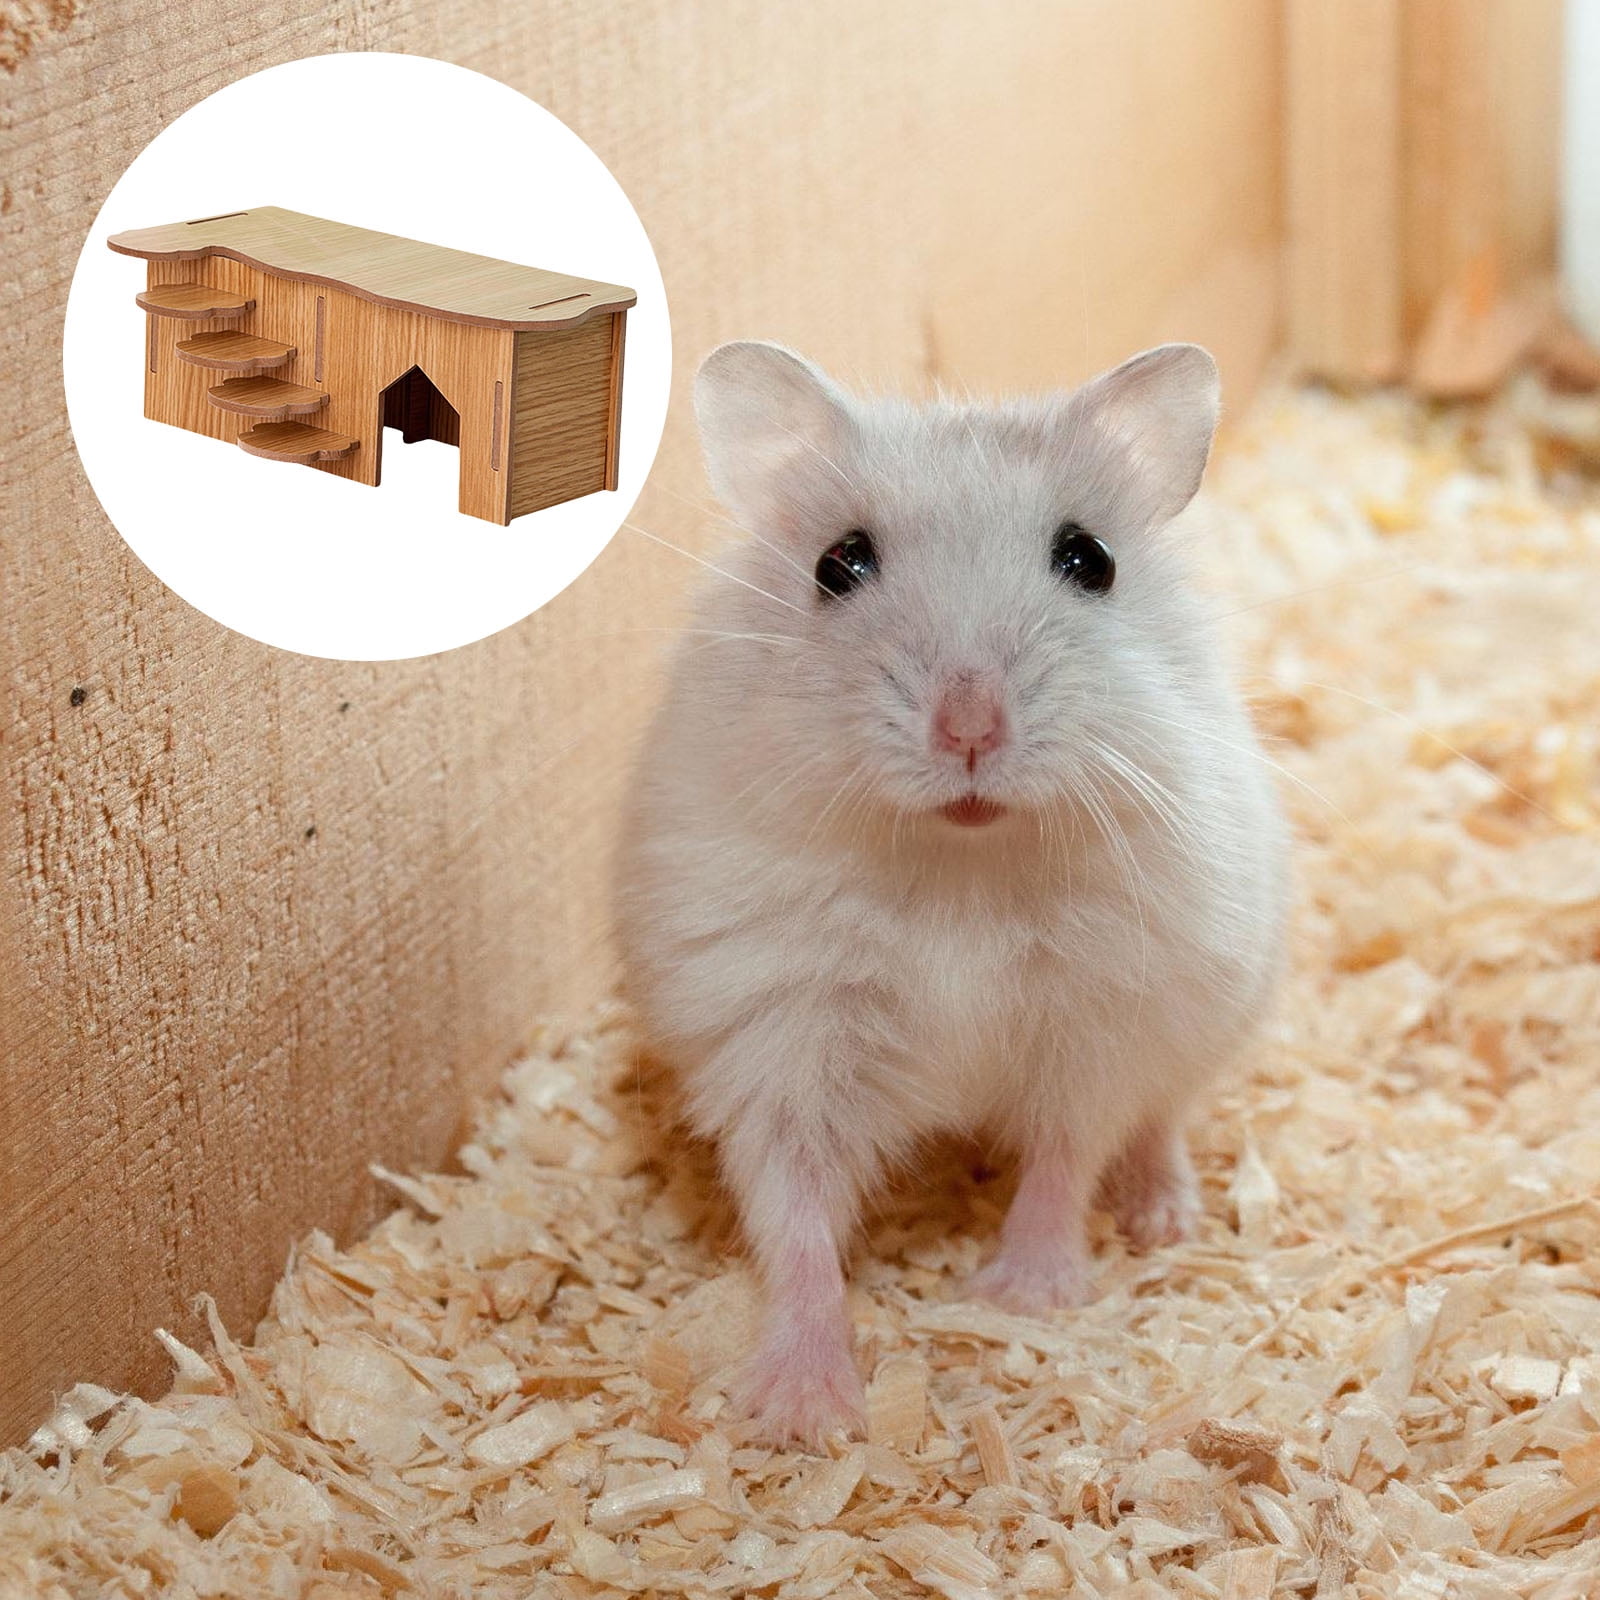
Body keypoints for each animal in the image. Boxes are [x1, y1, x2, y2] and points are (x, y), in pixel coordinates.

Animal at [616, 340, 1289, 1446]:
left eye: (1089, 560)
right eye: (836, 565)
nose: (969, 728)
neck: (961, 867)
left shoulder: (1100, 1021)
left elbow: (1065, 1154)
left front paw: (1025, 1298)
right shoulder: (781, 1042)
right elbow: (795, 1219)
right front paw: (804, 1414)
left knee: (1159, 1120)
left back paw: (1161, 1216)